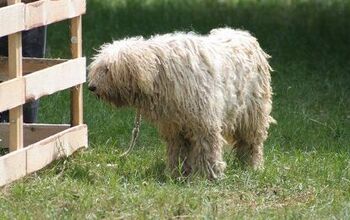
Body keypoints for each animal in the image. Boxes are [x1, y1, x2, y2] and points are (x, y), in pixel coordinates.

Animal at [87, 27, 274, 179]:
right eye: (99, 67)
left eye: (107, 69)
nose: (91, 87)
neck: (159, 72)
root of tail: (245, 35)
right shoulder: (174, 126)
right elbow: (178, 150)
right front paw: (178, 173)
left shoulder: (204, 122)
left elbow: (207, 148)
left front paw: (208, 174)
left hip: (252, 113)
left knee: (251, 143)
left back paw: (251, 165)